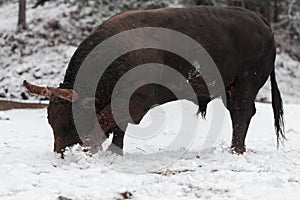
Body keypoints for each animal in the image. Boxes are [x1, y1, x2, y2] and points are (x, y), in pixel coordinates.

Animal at [23, 5, 284, 155]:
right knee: (238, 114)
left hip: (245, 84)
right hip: (231, 88)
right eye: (51, 121)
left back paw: (236, 150)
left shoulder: (136, 100)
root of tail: (261, 22)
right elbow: (118, 126)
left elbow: (112, 119)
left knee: (243, 112)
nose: (60, 152)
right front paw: (115, 152)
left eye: (70, 121)